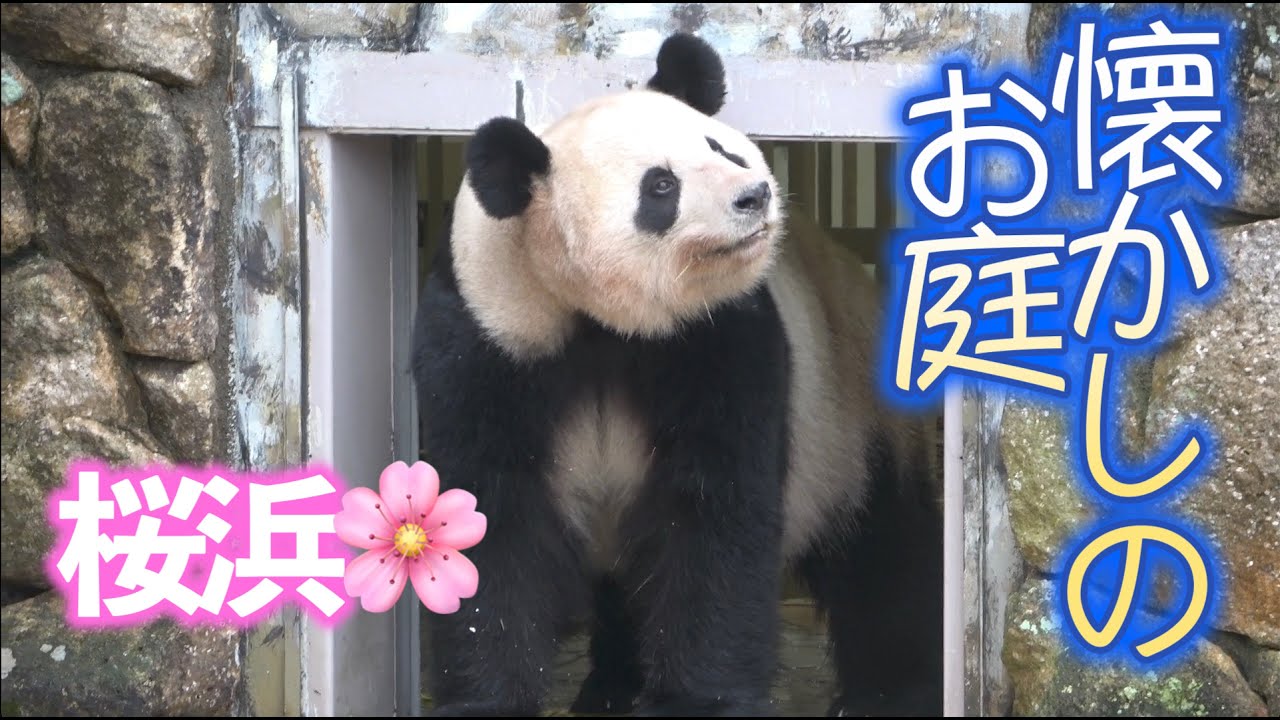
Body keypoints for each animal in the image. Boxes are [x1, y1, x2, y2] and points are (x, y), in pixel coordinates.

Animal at [411, 33, 943, 717]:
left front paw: (699, 699)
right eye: (660, 185)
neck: (598, 323)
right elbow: (490, 520)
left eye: (720, 147)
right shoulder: (489, 340)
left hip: (849, 406)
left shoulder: (719, 339)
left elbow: (711, 516)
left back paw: (890, 691)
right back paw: (611, 687)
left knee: (880, 546)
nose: (754, 196)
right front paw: (489, 699)